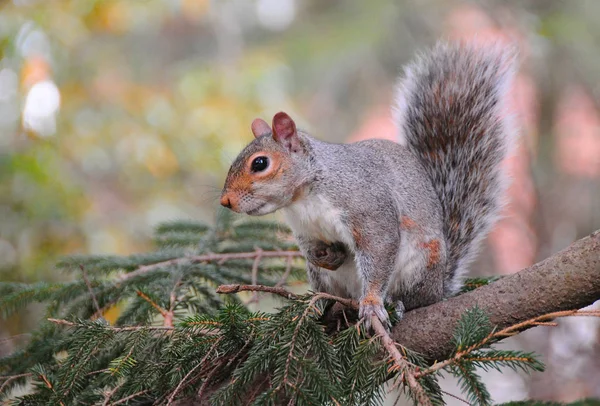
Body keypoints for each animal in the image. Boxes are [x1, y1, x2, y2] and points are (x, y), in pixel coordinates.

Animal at [220, 41, 516, 328]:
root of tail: (440, 286)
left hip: (420, 263)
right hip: (328, 280)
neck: (304, 197)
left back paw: (396, 302)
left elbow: (379, 248)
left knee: (416, 298)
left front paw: (373, 303)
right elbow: (312, 252)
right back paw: (323, 308)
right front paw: (326, 257)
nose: (226, 201)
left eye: (260, 163)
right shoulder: (306, 230)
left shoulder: (368, 208)